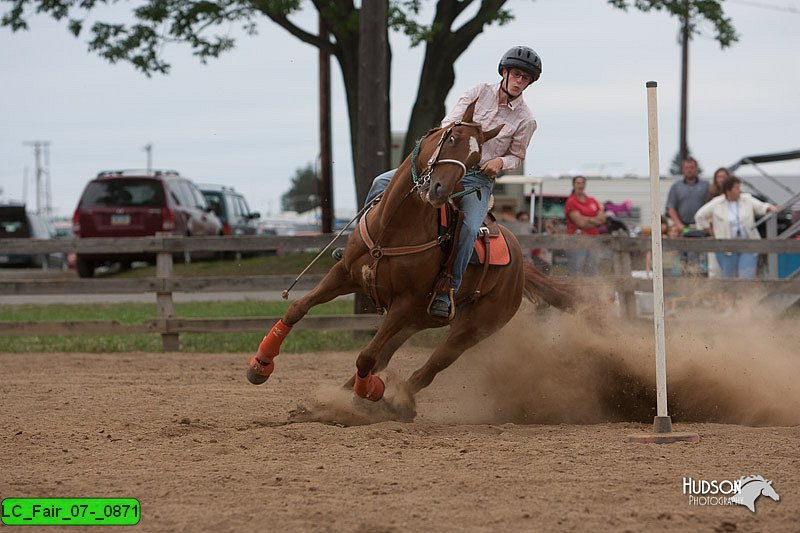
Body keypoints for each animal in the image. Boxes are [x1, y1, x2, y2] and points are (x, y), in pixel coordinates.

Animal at [247, 100, 580, 416]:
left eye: (476, 160)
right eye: (451, 138)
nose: (440, 190)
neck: (394, 227)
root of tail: (522, 266)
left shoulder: (405, 301)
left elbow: (365, 355)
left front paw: (373, 392)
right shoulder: (345, 274)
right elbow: (298, 309)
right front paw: (260, 365)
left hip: (471, 327)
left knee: (428, 367)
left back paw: (391, 403)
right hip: (416, 320)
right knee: (385, 356)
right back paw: (332, 404)